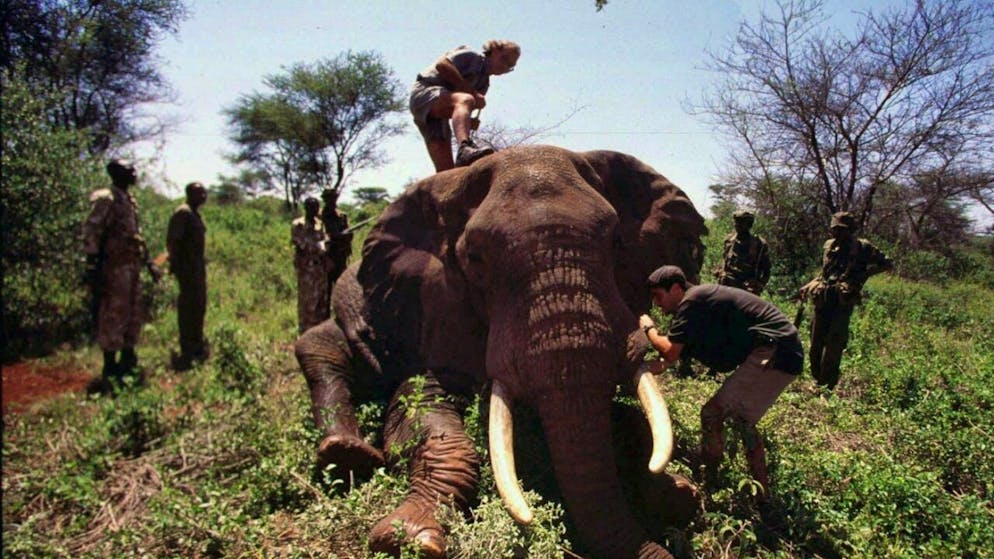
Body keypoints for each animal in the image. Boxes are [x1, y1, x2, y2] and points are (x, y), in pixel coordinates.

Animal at [294, 145, 708, 559]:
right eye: (476, 259)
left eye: (615, 244)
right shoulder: (439, 309)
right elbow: (416, 408)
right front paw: (407, 540)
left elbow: (619, 417)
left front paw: (678, 494)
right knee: (320, 347)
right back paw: (345, 452)